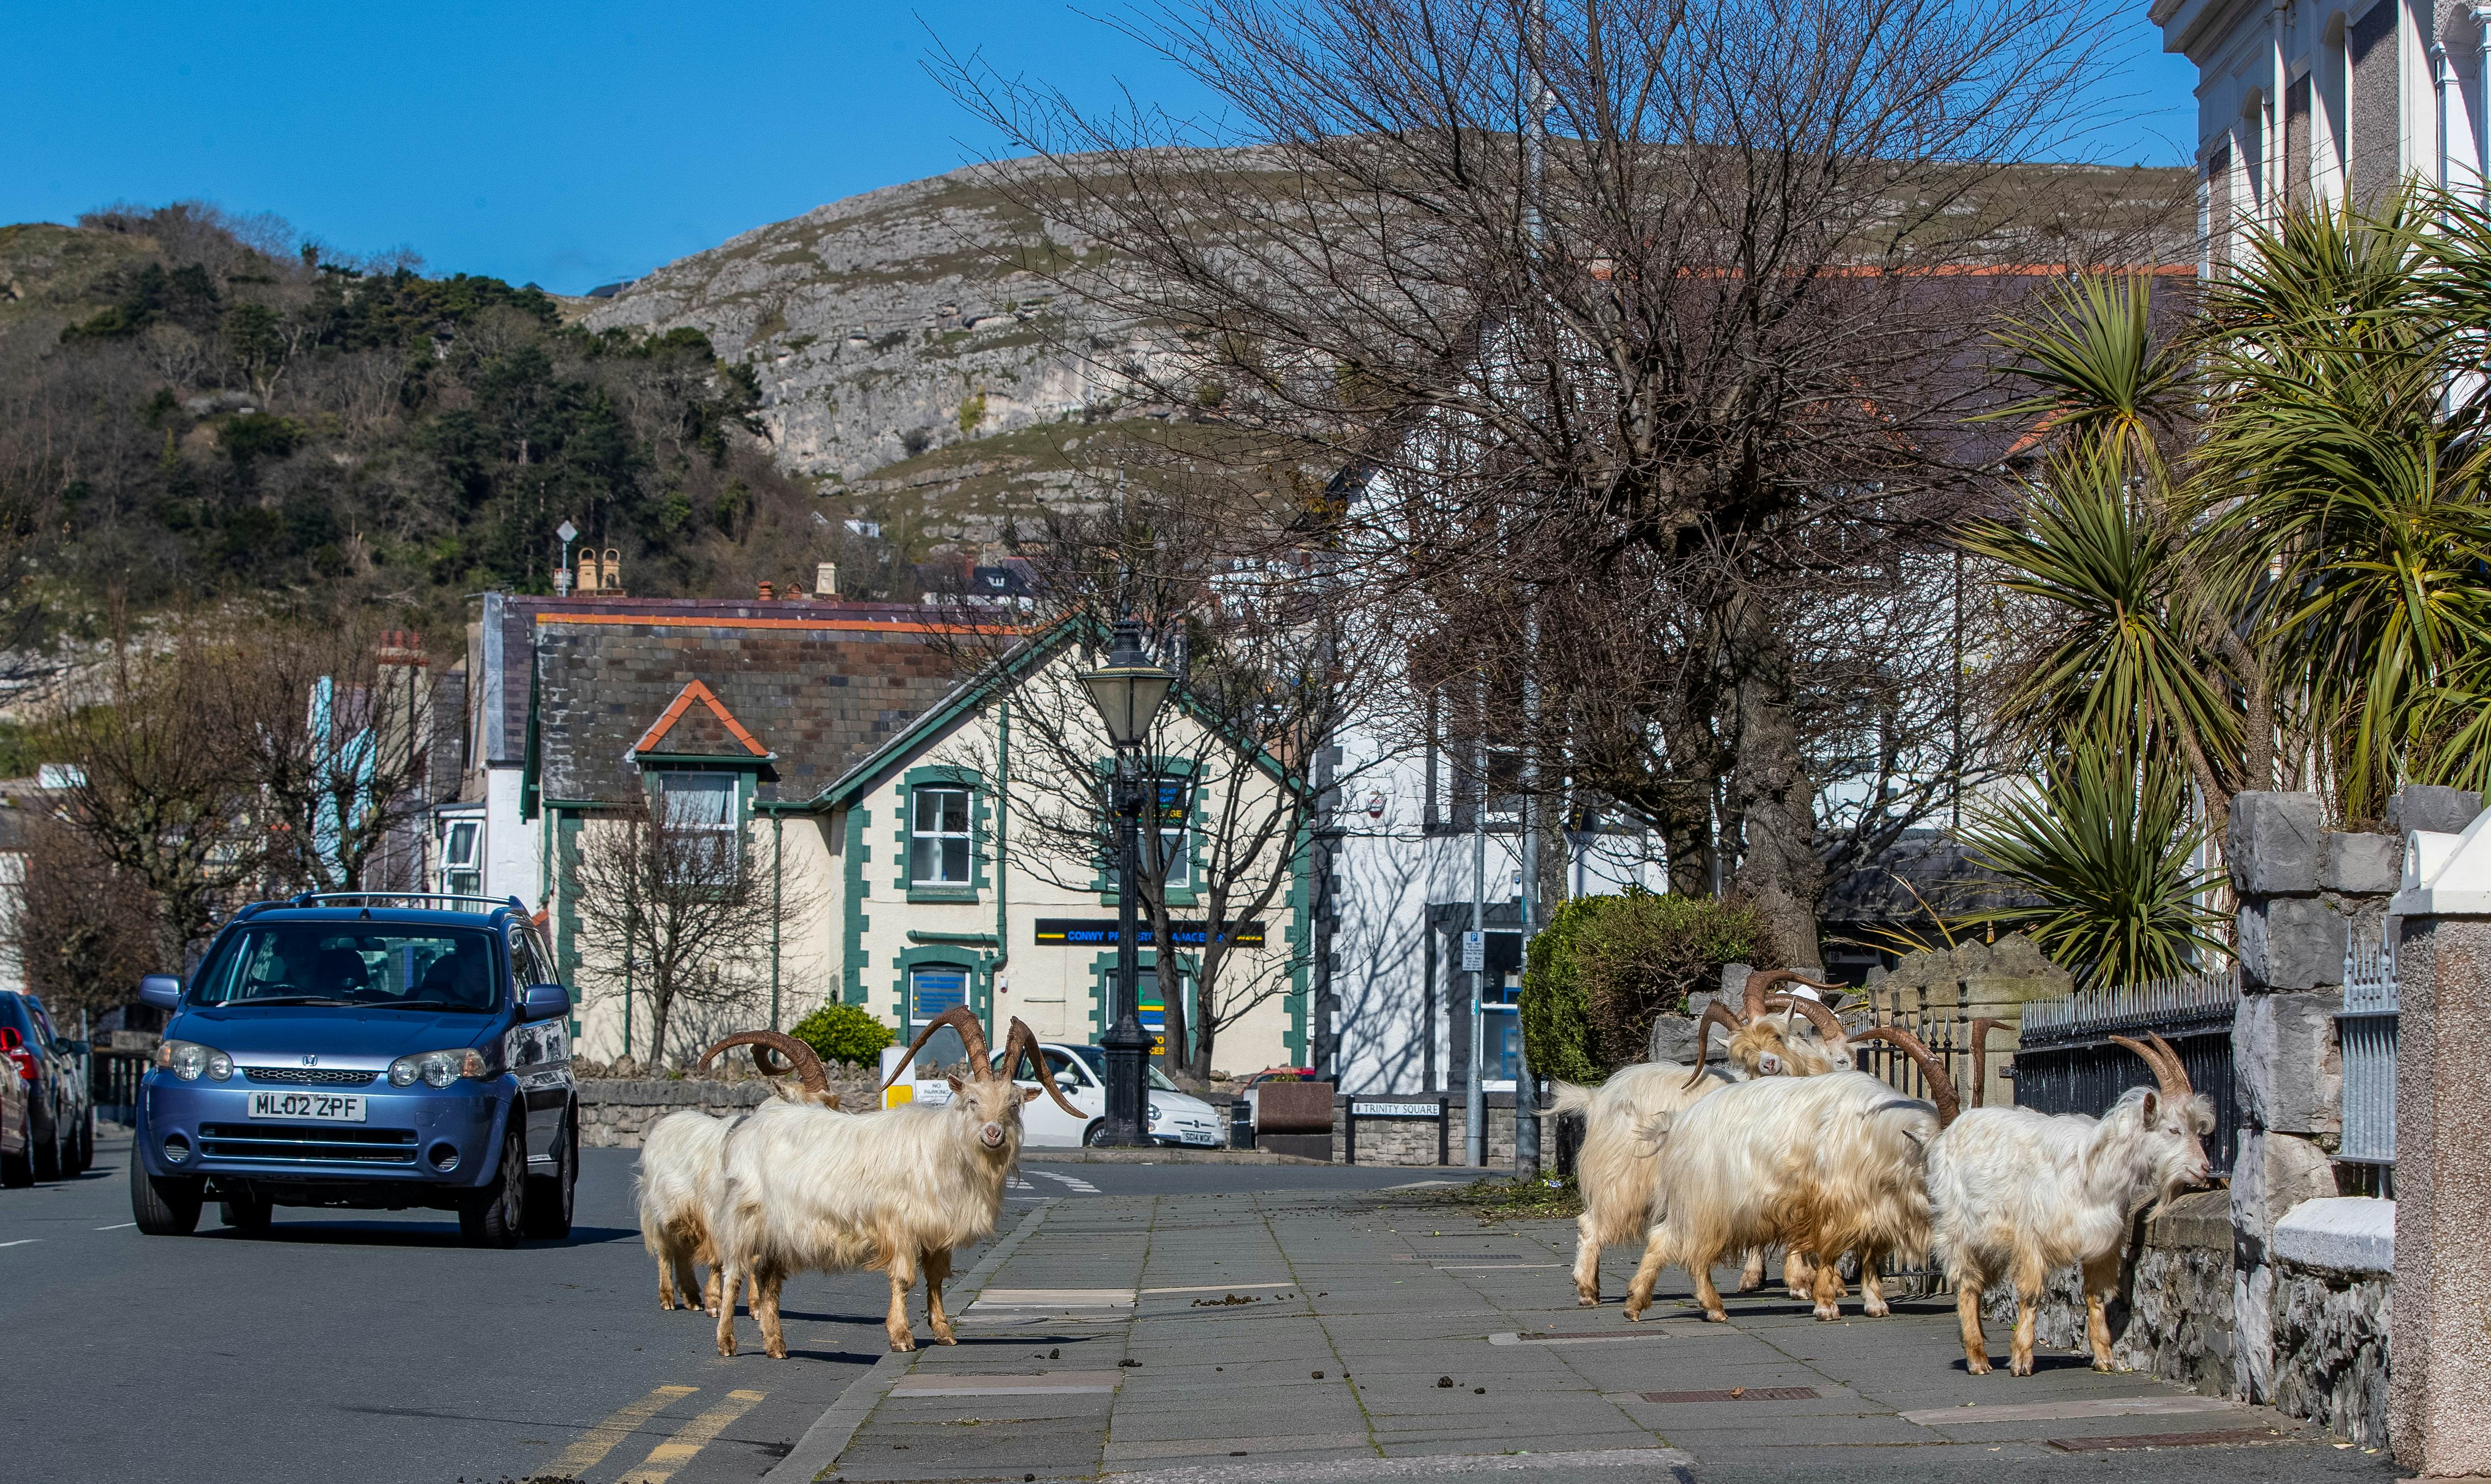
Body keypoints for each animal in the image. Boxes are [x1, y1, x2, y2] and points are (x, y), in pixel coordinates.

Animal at [636, 1030, 840, 1314]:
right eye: (811, 1105)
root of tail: (663, 1125)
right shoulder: (719, 1212)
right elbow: (721, 1257)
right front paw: (716, 1303)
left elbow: (754, 1258)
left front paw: (756, 1306)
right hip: (662, 1206)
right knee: (666, 1248)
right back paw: (669, 1299)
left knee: (683, 1250)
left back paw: (692, 1298)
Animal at [709, 1006, 1083, 1357]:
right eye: (972, 1100)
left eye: (1014, 1104)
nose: (993, 1133)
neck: (943, 1150)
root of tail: (747, 1127)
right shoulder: (899, 1224)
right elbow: (904, 1278)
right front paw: (901, 1336)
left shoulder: (937, 1230)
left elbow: (936, 1277)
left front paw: (944, 1332)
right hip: (744, 1217)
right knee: (735, 1273)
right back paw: (726, 1341)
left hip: (779, 1232)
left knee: (768, 1279)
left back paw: (776, 1345)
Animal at [1625, 1035, 1959, 1324]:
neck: (1873, 1133)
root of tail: (1679, 1123)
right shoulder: (1832, 1205)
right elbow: (1829, 1251)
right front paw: (1826, 1305)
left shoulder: (1873, 1209)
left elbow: (1869, 1254)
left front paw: (1876, 1304)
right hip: (1704, 1203)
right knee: (1683, 1247)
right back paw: (1710, 1308)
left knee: (1667, 1242)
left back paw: (1636, 1306)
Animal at [1927, 1032, 2213, 1376]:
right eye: (2173, 1130)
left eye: (2197, 1129)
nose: (2204, 1168)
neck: (2092, 1172)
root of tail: (1951, 1130)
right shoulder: (2031, 1238)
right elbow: (2031, 1296)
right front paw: (2021, 1359)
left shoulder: (2102, 1240)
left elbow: (2096, 1296)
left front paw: (2105, 1358)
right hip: (1958, 1229)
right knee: (1968, 1286)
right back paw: (1978, 1360)